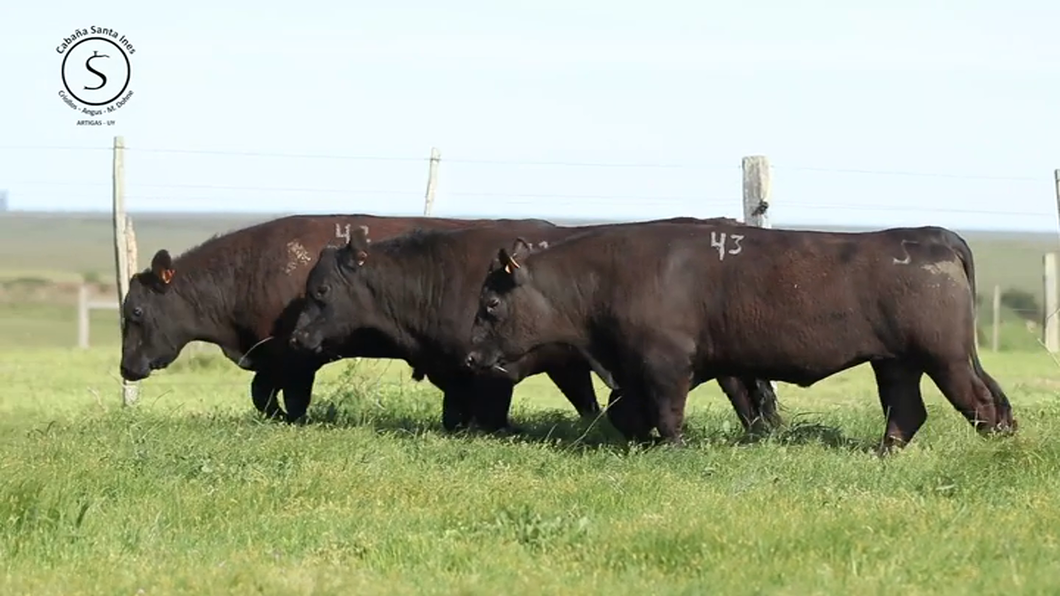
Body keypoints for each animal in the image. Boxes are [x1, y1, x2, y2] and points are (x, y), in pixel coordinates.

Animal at [466, 219, 1017, 449]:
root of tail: (930, 235)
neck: (603, 276)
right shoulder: (633, 372)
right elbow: (627, 415)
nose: (470, 359)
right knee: (908, 411)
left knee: (981, 403)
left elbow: (667, 414)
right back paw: (885, 451)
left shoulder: (665, 366)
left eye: (489, 304)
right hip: (896, 363)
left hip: (944, 358)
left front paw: (674, 450)